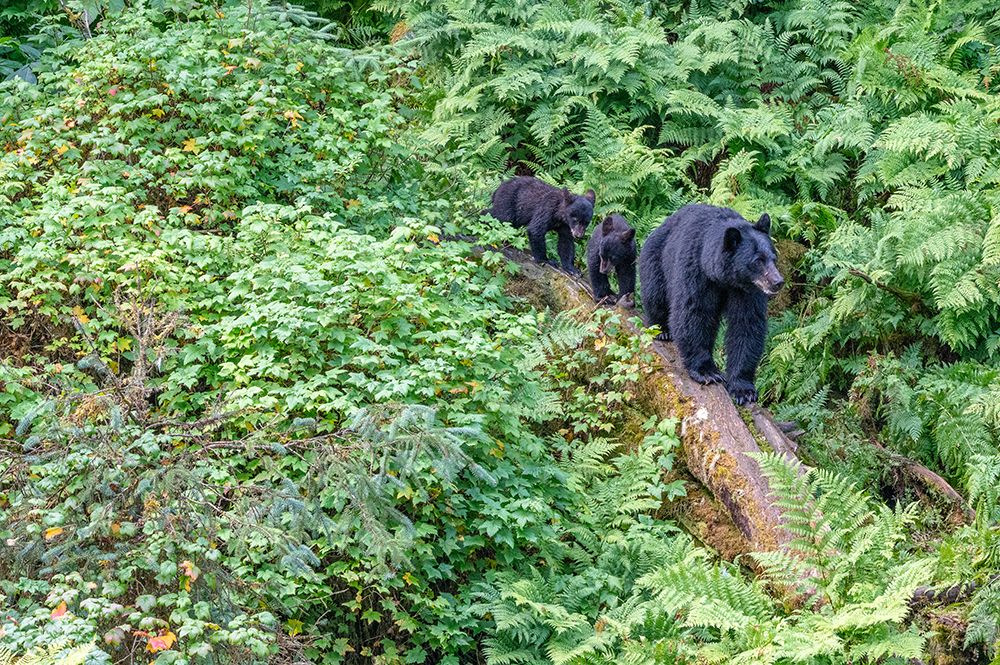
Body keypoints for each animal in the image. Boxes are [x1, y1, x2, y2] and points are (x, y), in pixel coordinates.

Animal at [638, 204, 784, 405]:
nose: (778, 282)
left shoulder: (747, 291)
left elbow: (746, 324)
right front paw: (707, 372)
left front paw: (743, 389)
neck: (723, 278)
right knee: (655, 295)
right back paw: (661, 330)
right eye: (757, 261)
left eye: (773, 257)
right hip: (657, 258)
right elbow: (693, 313)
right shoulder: (695, 270)